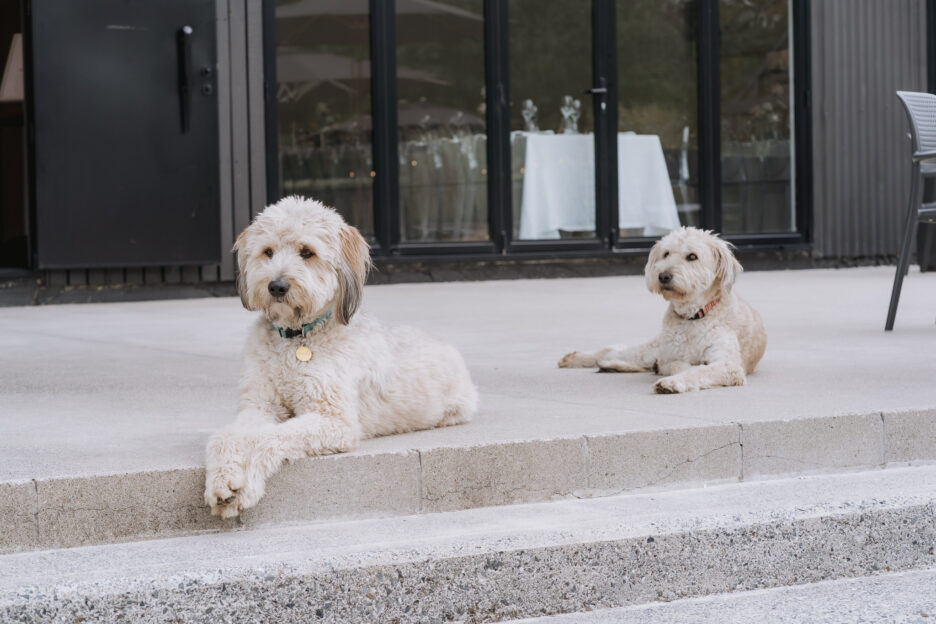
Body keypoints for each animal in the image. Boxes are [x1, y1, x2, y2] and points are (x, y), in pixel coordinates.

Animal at [207, 197, 478, 520]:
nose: (276, 286)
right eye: (268, 251)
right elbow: (228, 436)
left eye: (307, 252)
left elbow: (266, 438)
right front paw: (222, 481)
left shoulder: (334, 421)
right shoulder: (260, 405)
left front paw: (246, 485)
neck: (298, 339)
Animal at [556, 229, 768, 392]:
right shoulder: (671, 356)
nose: (663, 276)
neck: (693, 317)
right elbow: (679, 365)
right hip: (652, 348)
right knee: (612, 350)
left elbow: (698, 370)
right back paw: (574, 358)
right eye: (666, 254)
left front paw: (672, 382)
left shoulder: (728, 365)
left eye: (692, 256)